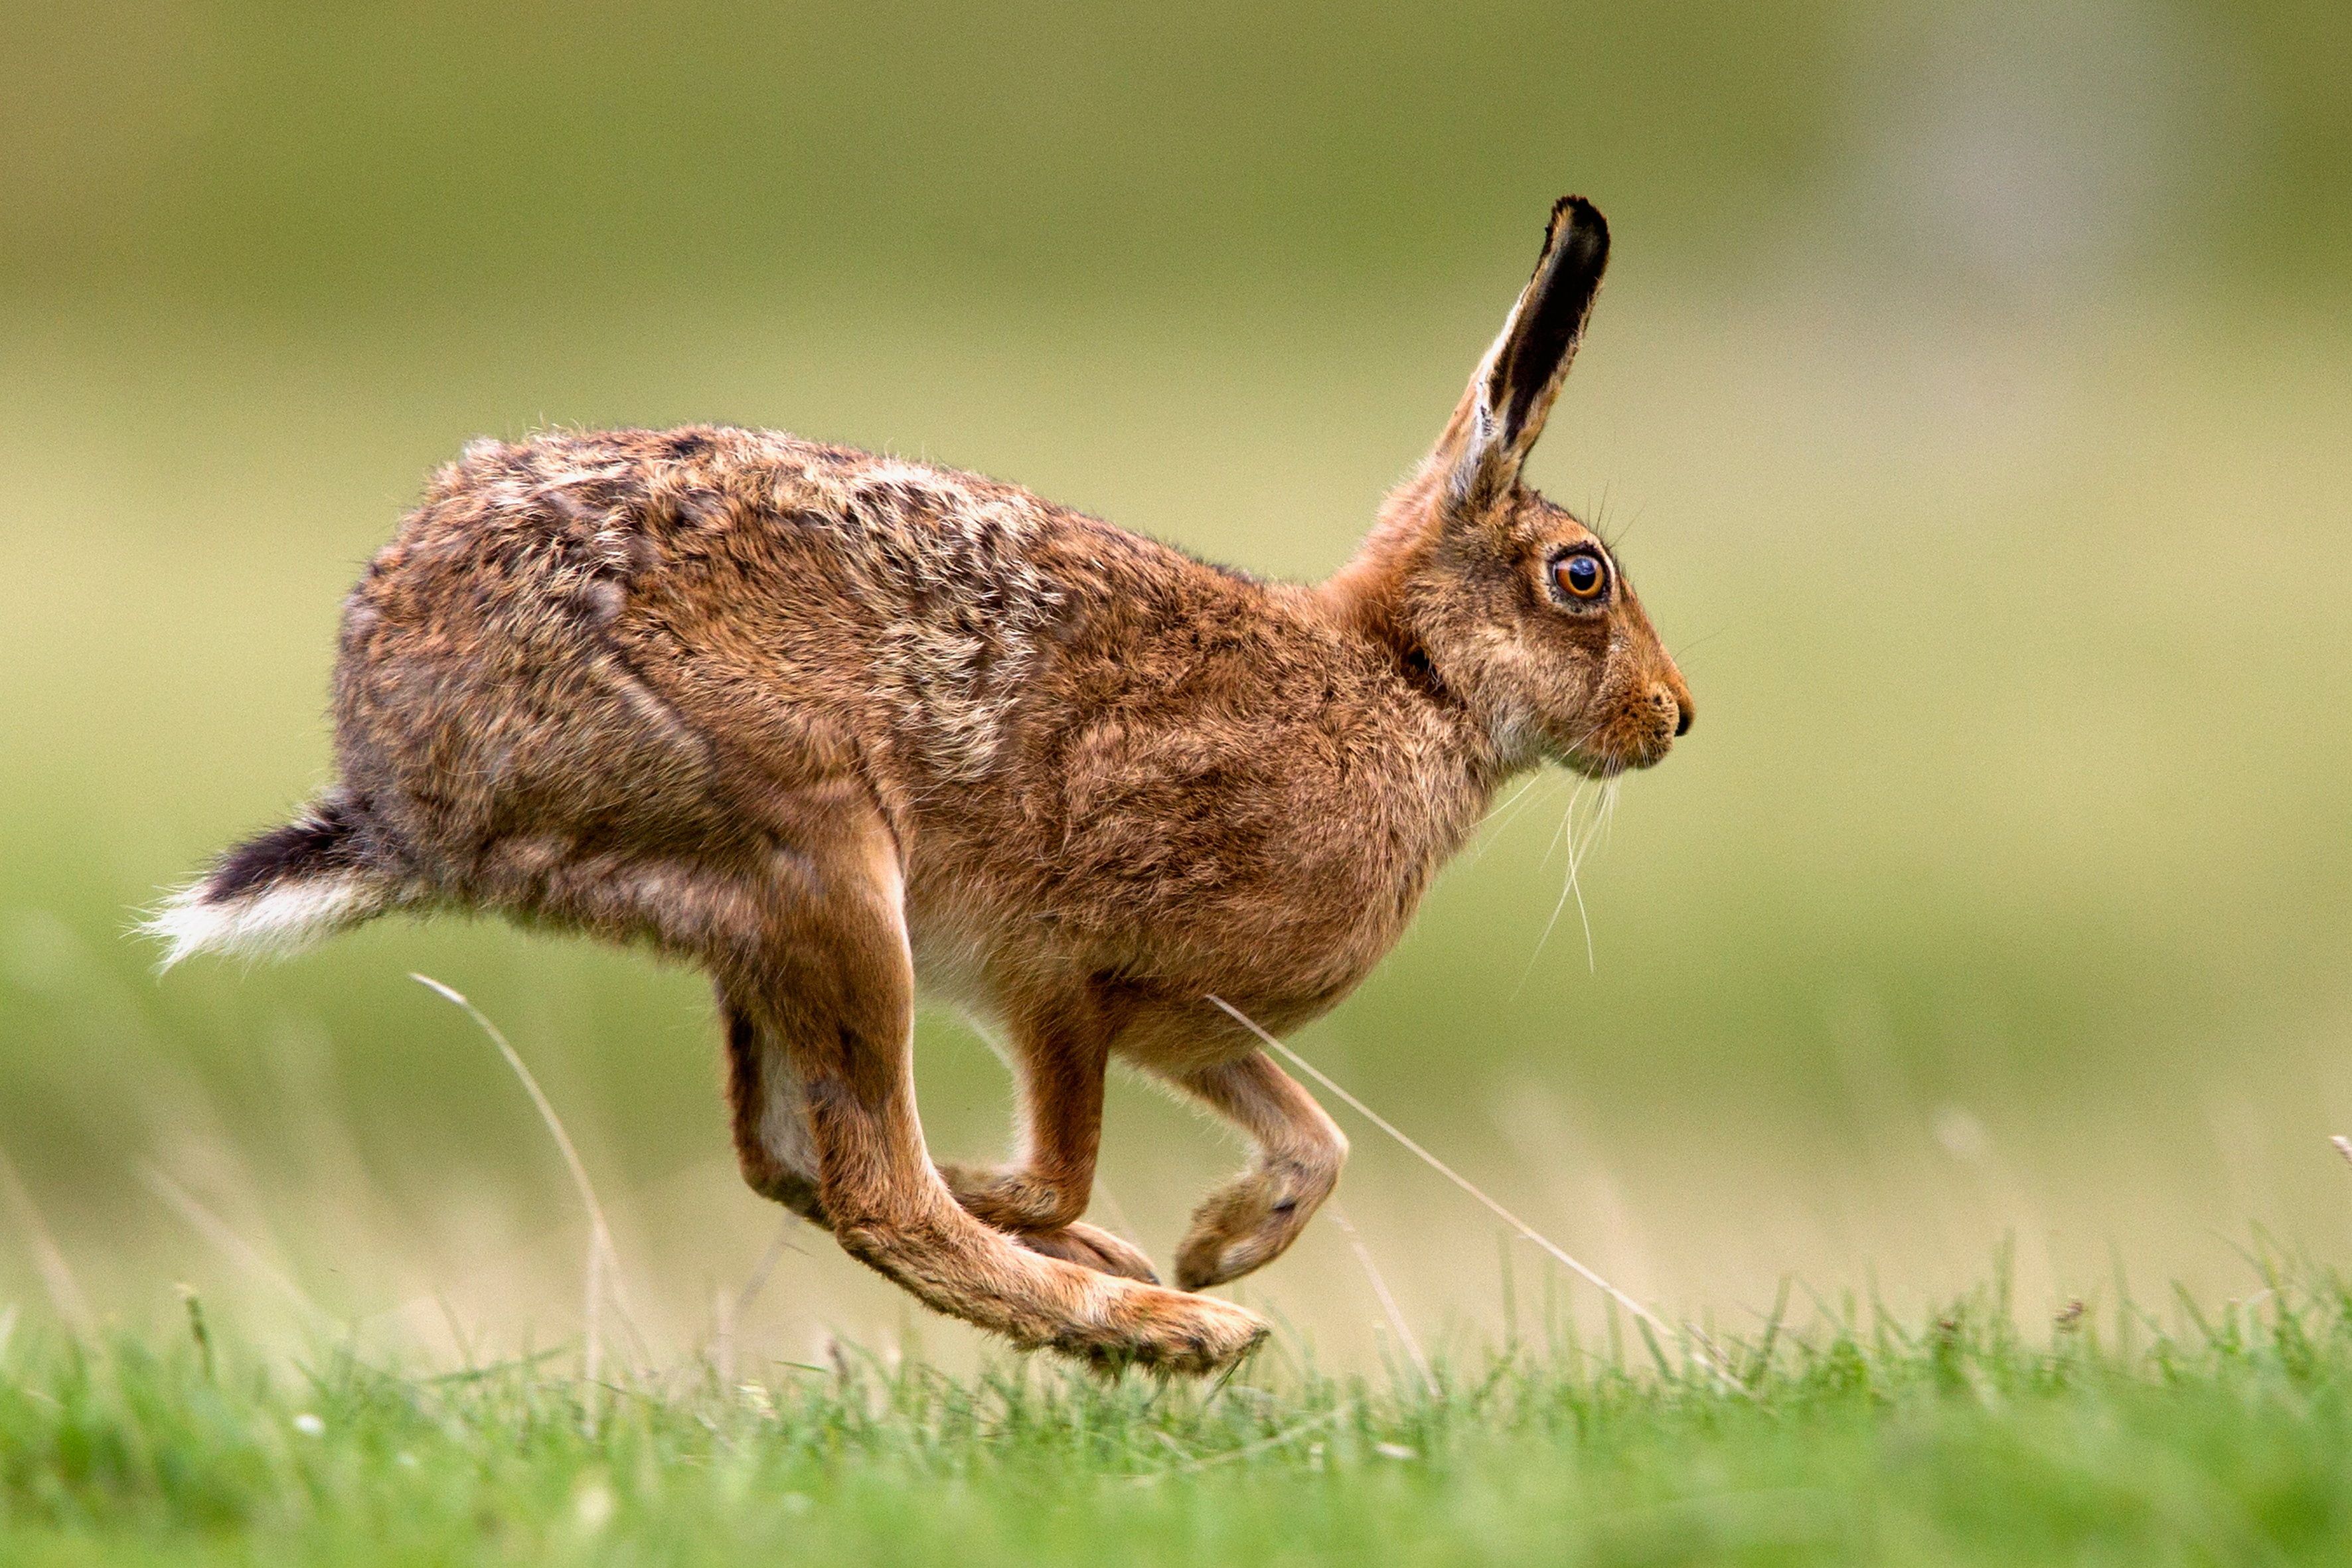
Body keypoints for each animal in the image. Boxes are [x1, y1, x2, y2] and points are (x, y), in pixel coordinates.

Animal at [148, 196, 1691, 1375]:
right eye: (1580, 577)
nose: (1674, 718)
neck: (1407, 677)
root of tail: (401, 775)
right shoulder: (1067, 974)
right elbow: (1060, 1154)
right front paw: (1132, 1242)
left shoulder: (1190, 1027)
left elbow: (1316, 1140)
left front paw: (1215, 1236)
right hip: (825, 861)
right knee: (872, 1190)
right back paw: (1168, 1326)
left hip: (752, 918)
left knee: (784, 1152)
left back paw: (1147, 1281)